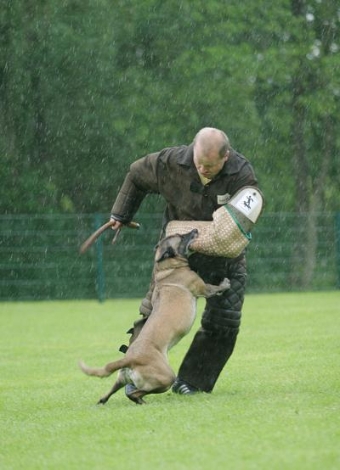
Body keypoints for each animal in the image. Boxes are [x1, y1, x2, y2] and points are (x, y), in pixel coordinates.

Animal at [78, 229, 230, 406]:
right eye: (181, 237)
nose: (195, 230)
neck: (167, 266)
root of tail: (131, 358)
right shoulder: (203, 288)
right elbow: (215, 288)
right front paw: (226, 283)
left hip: (122, 378)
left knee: (109, 394)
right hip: (166, 377)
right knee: (135, 393)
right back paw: (142, 401)